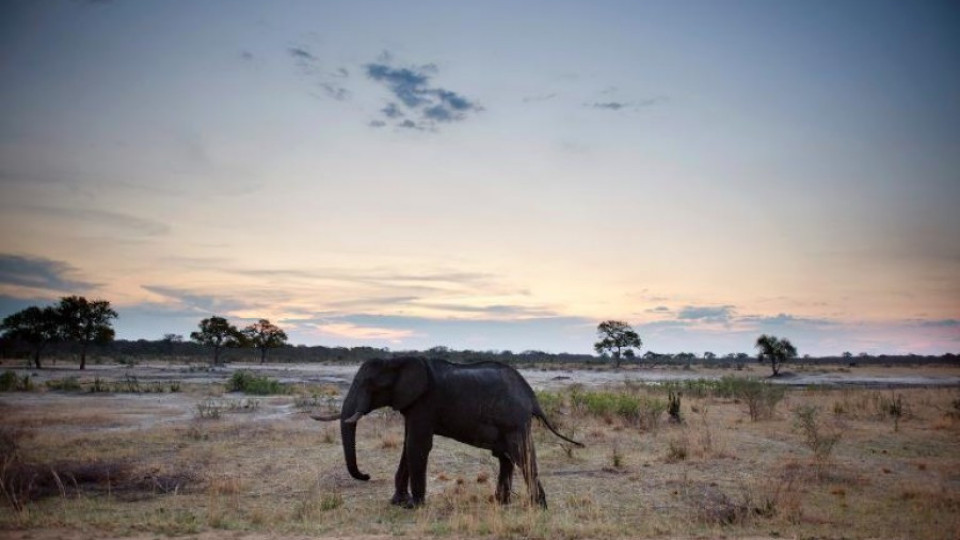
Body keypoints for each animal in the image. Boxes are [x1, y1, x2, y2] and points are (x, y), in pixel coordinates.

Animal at [314, 356, 584, 508]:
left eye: (369, 384)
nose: (367, 475)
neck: (399, 360)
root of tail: (532, 396)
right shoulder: (411, 404)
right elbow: (408, 445)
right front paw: (397, 503)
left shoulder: (425, 402)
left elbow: (417, 445)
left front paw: (414, 506)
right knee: (506, 458)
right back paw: (500, 503)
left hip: (514, 422)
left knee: (521, 456)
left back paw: (538, 507)